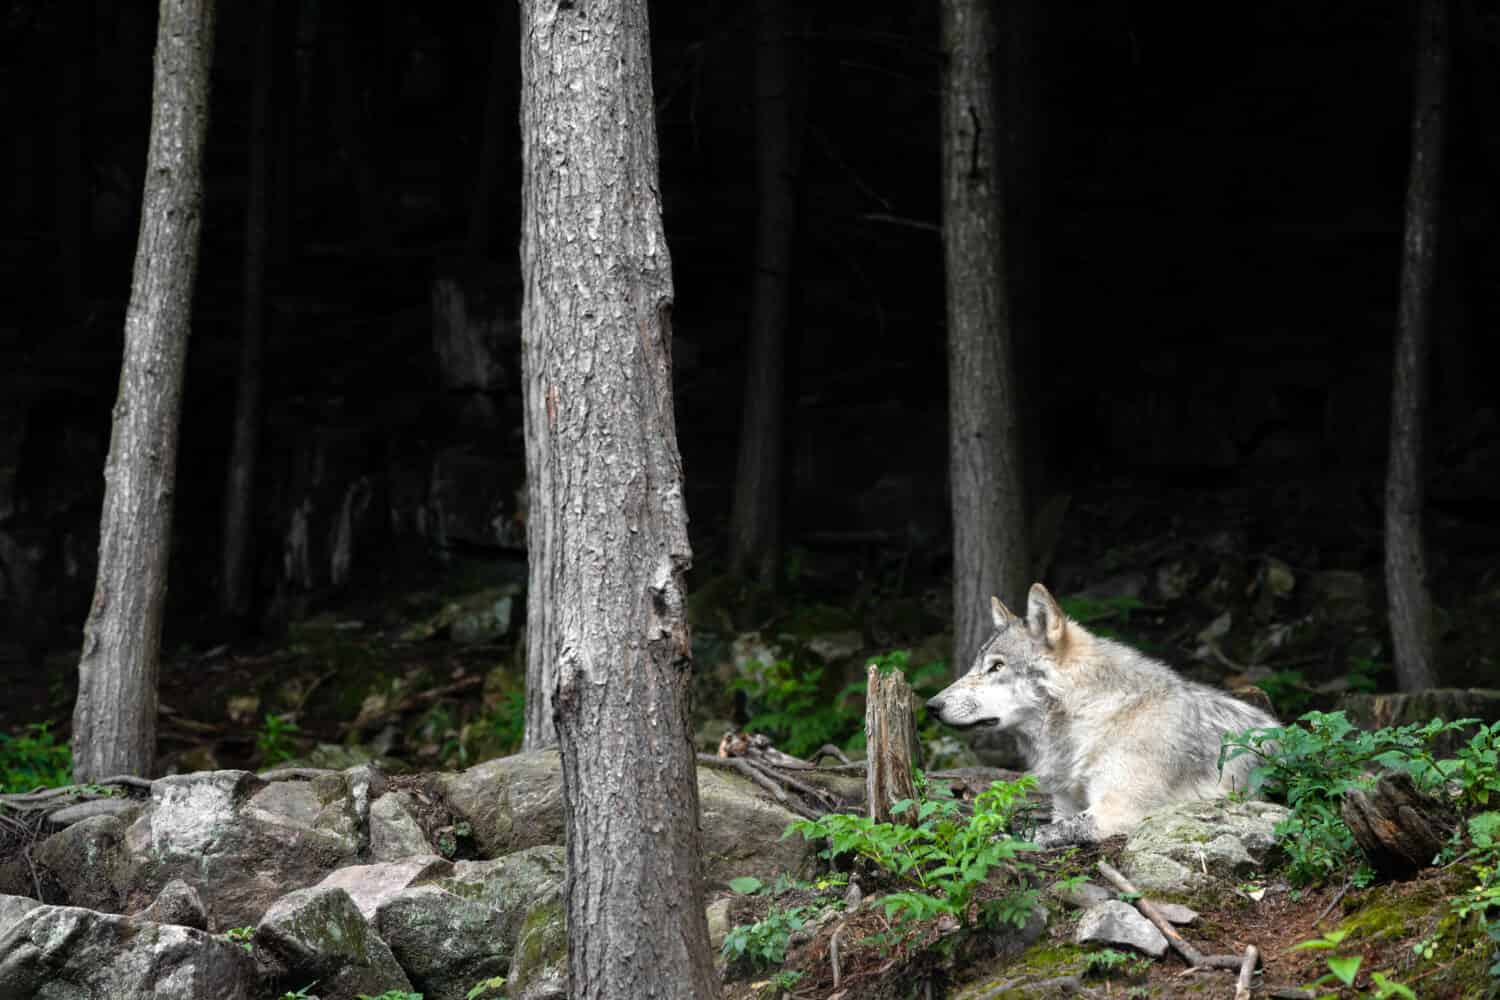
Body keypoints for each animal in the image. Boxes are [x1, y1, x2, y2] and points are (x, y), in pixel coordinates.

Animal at [924, 581, 1278, 851]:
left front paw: (991, 838)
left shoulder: (1118, 812)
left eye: (996, 667)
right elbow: (1051, 824)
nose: (931, 706)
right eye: (976, 665)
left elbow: (1039, 831)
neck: (1098, 717)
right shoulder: (1065, 805)